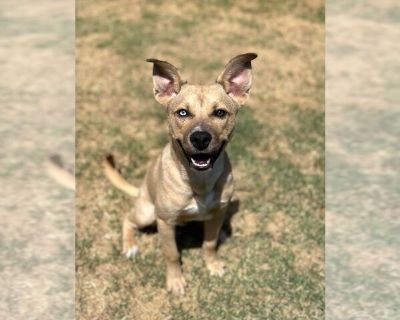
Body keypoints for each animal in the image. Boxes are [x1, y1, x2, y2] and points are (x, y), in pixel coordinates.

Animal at [104, 53, 258, 296]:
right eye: (182, 113)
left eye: (220, 113)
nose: (200, 138)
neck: (198, 181)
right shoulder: (165, 222)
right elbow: (172, 254)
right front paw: (175, 281)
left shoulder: (217, 212)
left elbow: (209, 244)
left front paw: (213, 265)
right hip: (147, 213)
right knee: (127, 219)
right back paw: (129, 246)